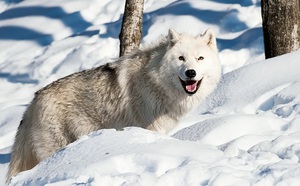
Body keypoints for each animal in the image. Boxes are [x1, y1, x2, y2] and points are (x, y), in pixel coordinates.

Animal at [7, 28, 221, 182]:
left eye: (200, 58)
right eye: (181, 58)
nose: (191, 73)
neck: (155, 80)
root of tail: (32, 102)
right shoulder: (151, 129)